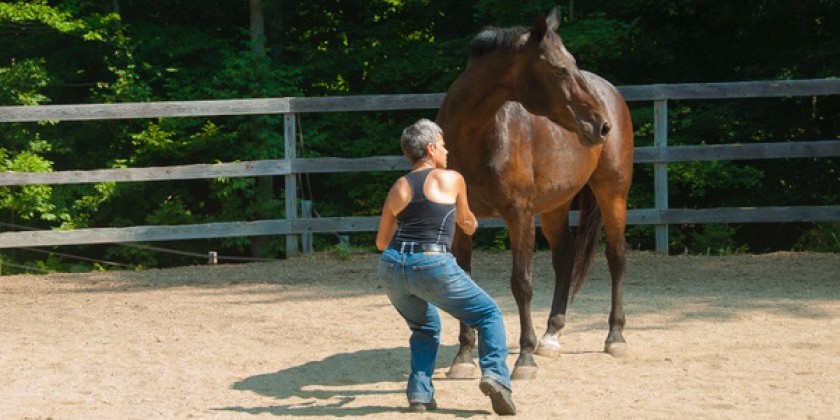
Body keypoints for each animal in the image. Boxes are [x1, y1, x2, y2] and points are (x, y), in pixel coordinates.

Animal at [435, 7, 634, 380]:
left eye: (571, 64)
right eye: (558, 69)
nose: (600, 125)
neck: (478, 137)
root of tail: (610, 92)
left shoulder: (520, 215)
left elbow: (522, 283)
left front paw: (524, 358)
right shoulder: (460, 219)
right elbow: (462, 282)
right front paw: (464, 356)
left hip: (612, 193)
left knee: (616, 257)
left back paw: (615, 336)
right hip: (556, 205)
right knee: (565, 257)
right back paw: (551, 335)